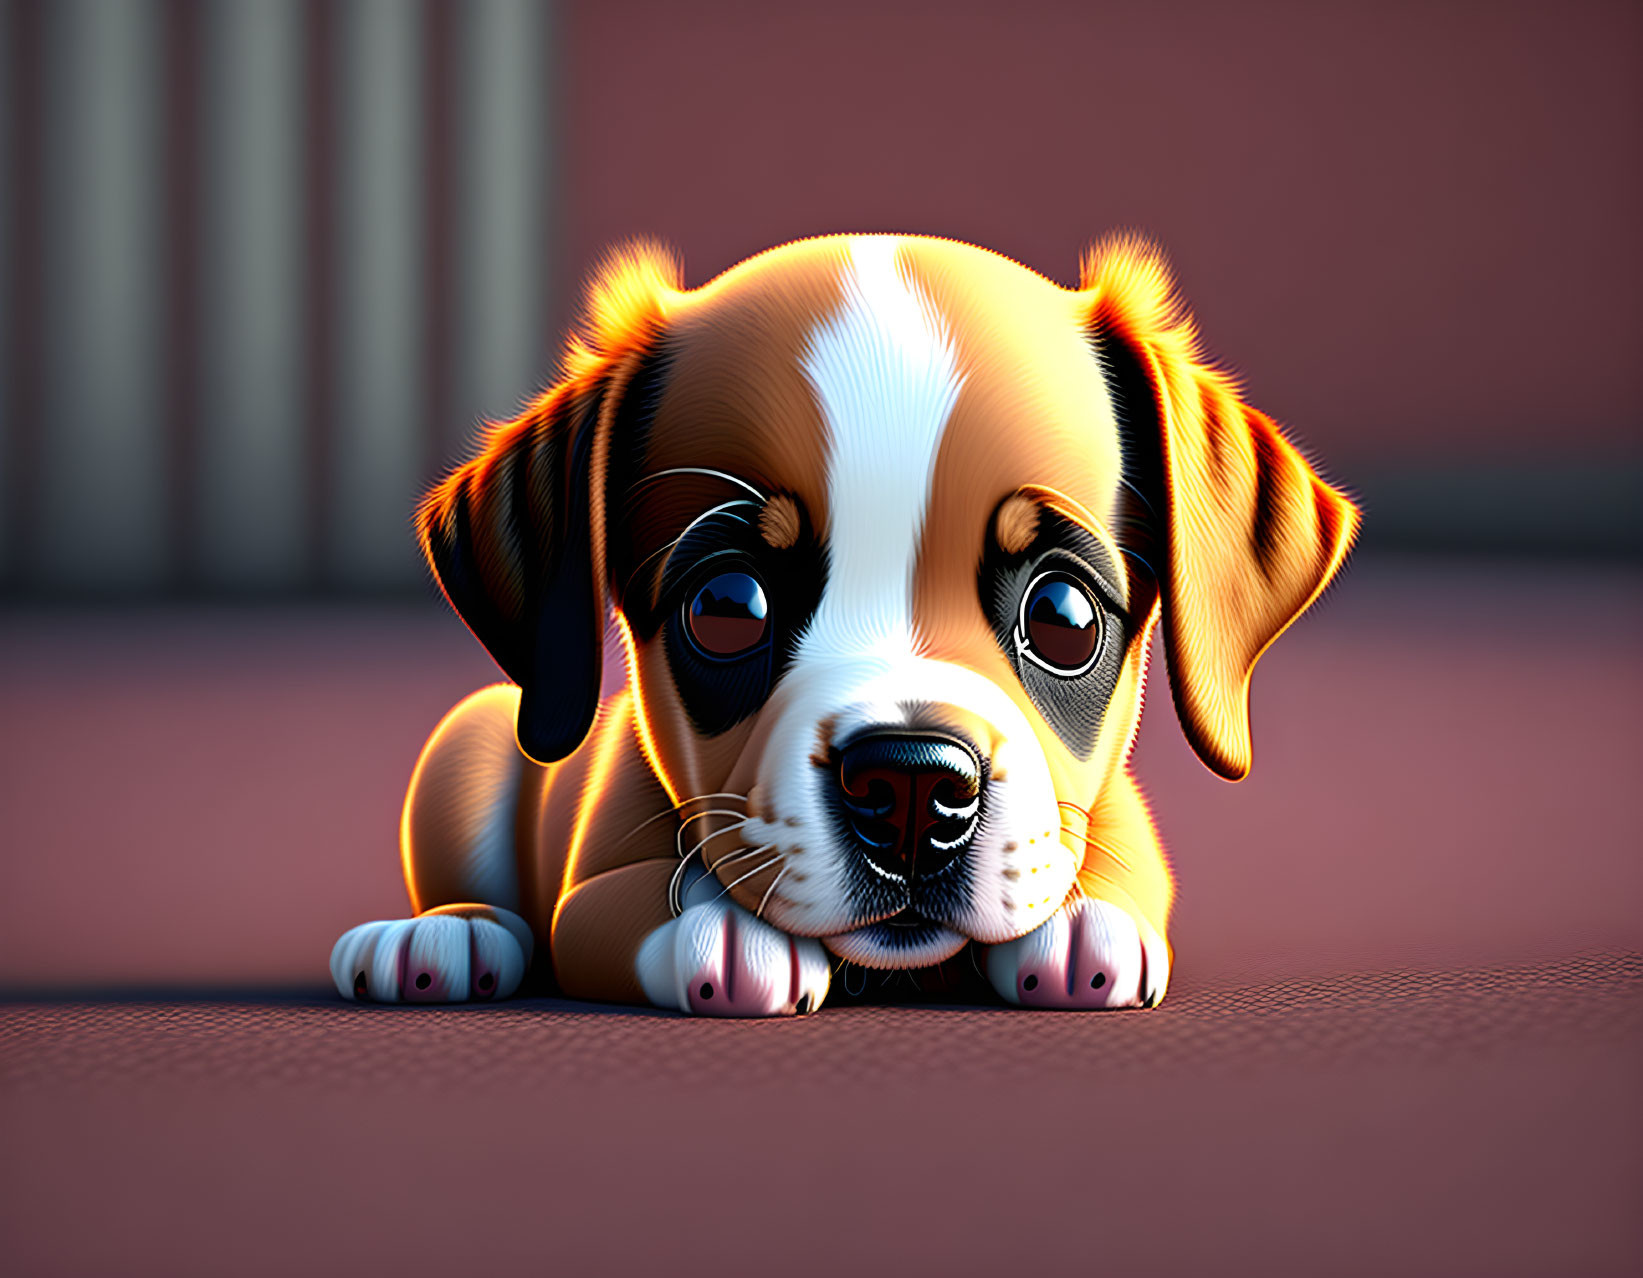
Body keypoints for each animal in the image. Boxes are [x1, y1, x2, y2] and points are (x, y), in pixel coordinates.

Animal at [326, 233, 1353, 1018]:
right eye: (726, 608)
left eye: (1062, 619)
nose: (911, 786)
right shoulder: (590, 891)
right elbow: (627, 905)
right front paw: (721, 927)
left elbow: (1109, 863)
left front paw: (1079, 920)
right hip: (466, 742)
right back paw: (442, 937)